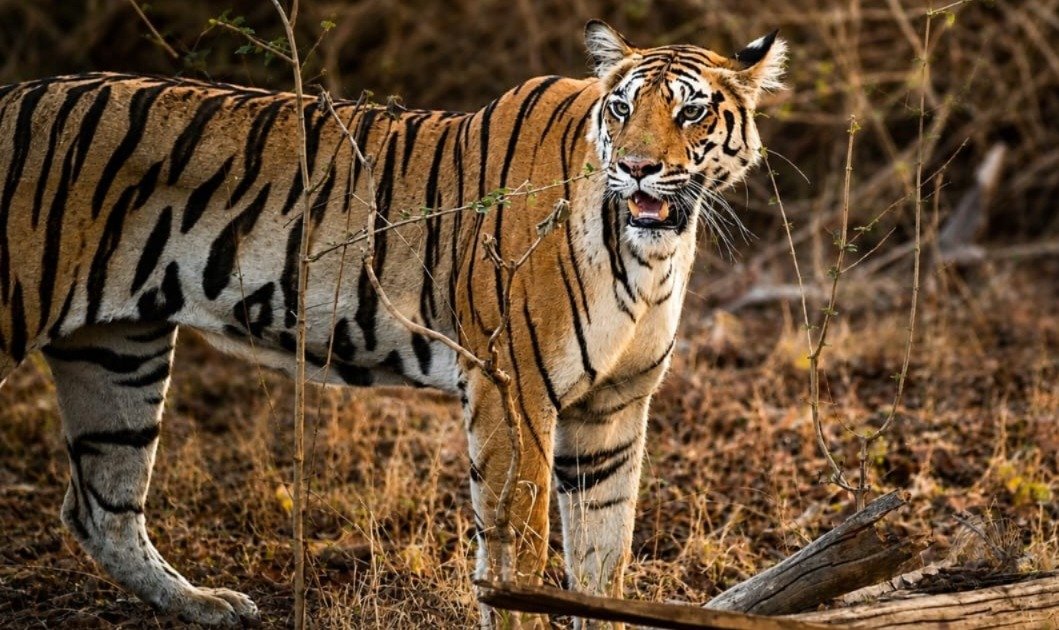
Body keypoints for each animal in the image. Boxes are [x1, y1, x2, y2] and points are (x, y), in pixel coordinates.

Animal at [0, 19, 784, 626]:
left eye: (689, 113)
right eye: (620, 109)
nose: (638, 167)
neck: (651, 252)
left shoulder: (613, 409)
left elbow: (603, 557)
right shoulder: (513, 389)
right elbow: (519, 549)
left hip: (117, 351)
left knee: (101, 507)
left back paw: (206, 605)